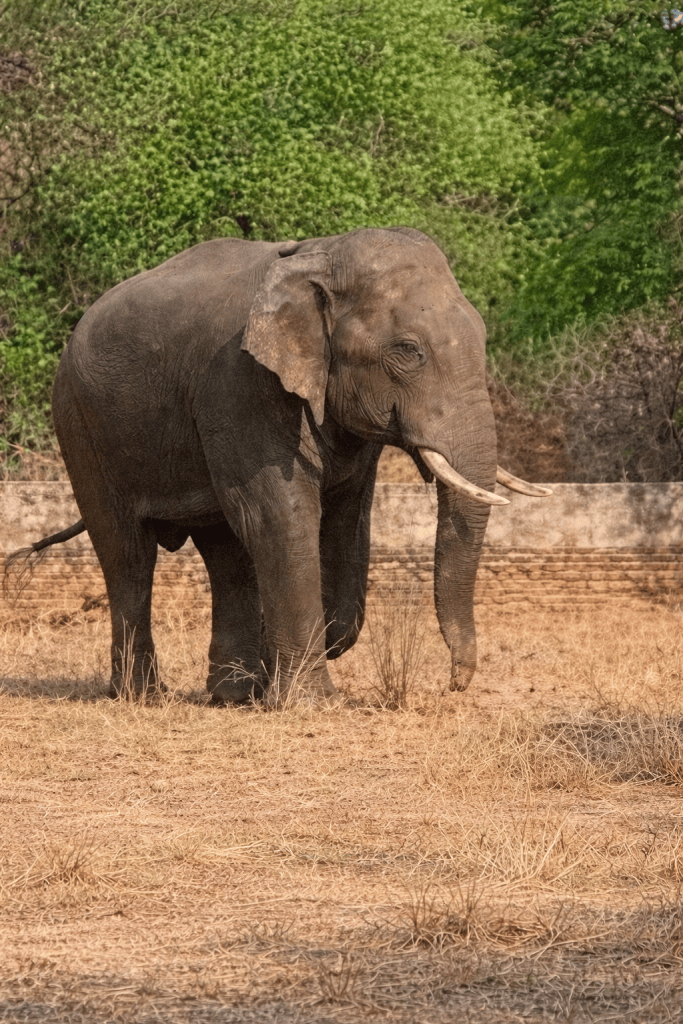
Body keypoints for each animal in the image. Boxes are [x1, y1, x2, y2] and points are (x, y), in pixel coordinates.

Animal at [9, 228, 549, 705]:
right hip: (80, 426)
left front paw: (287, 672)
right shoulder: (240, 383)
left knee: (225, 553)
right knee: (128, 554)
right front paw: (312, 703)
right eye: (408, 351)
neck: (322, 254)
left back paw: (233, 695)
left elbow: (345, 520)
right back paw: (142, 696)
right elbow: (280, 516)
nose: (454, 684)